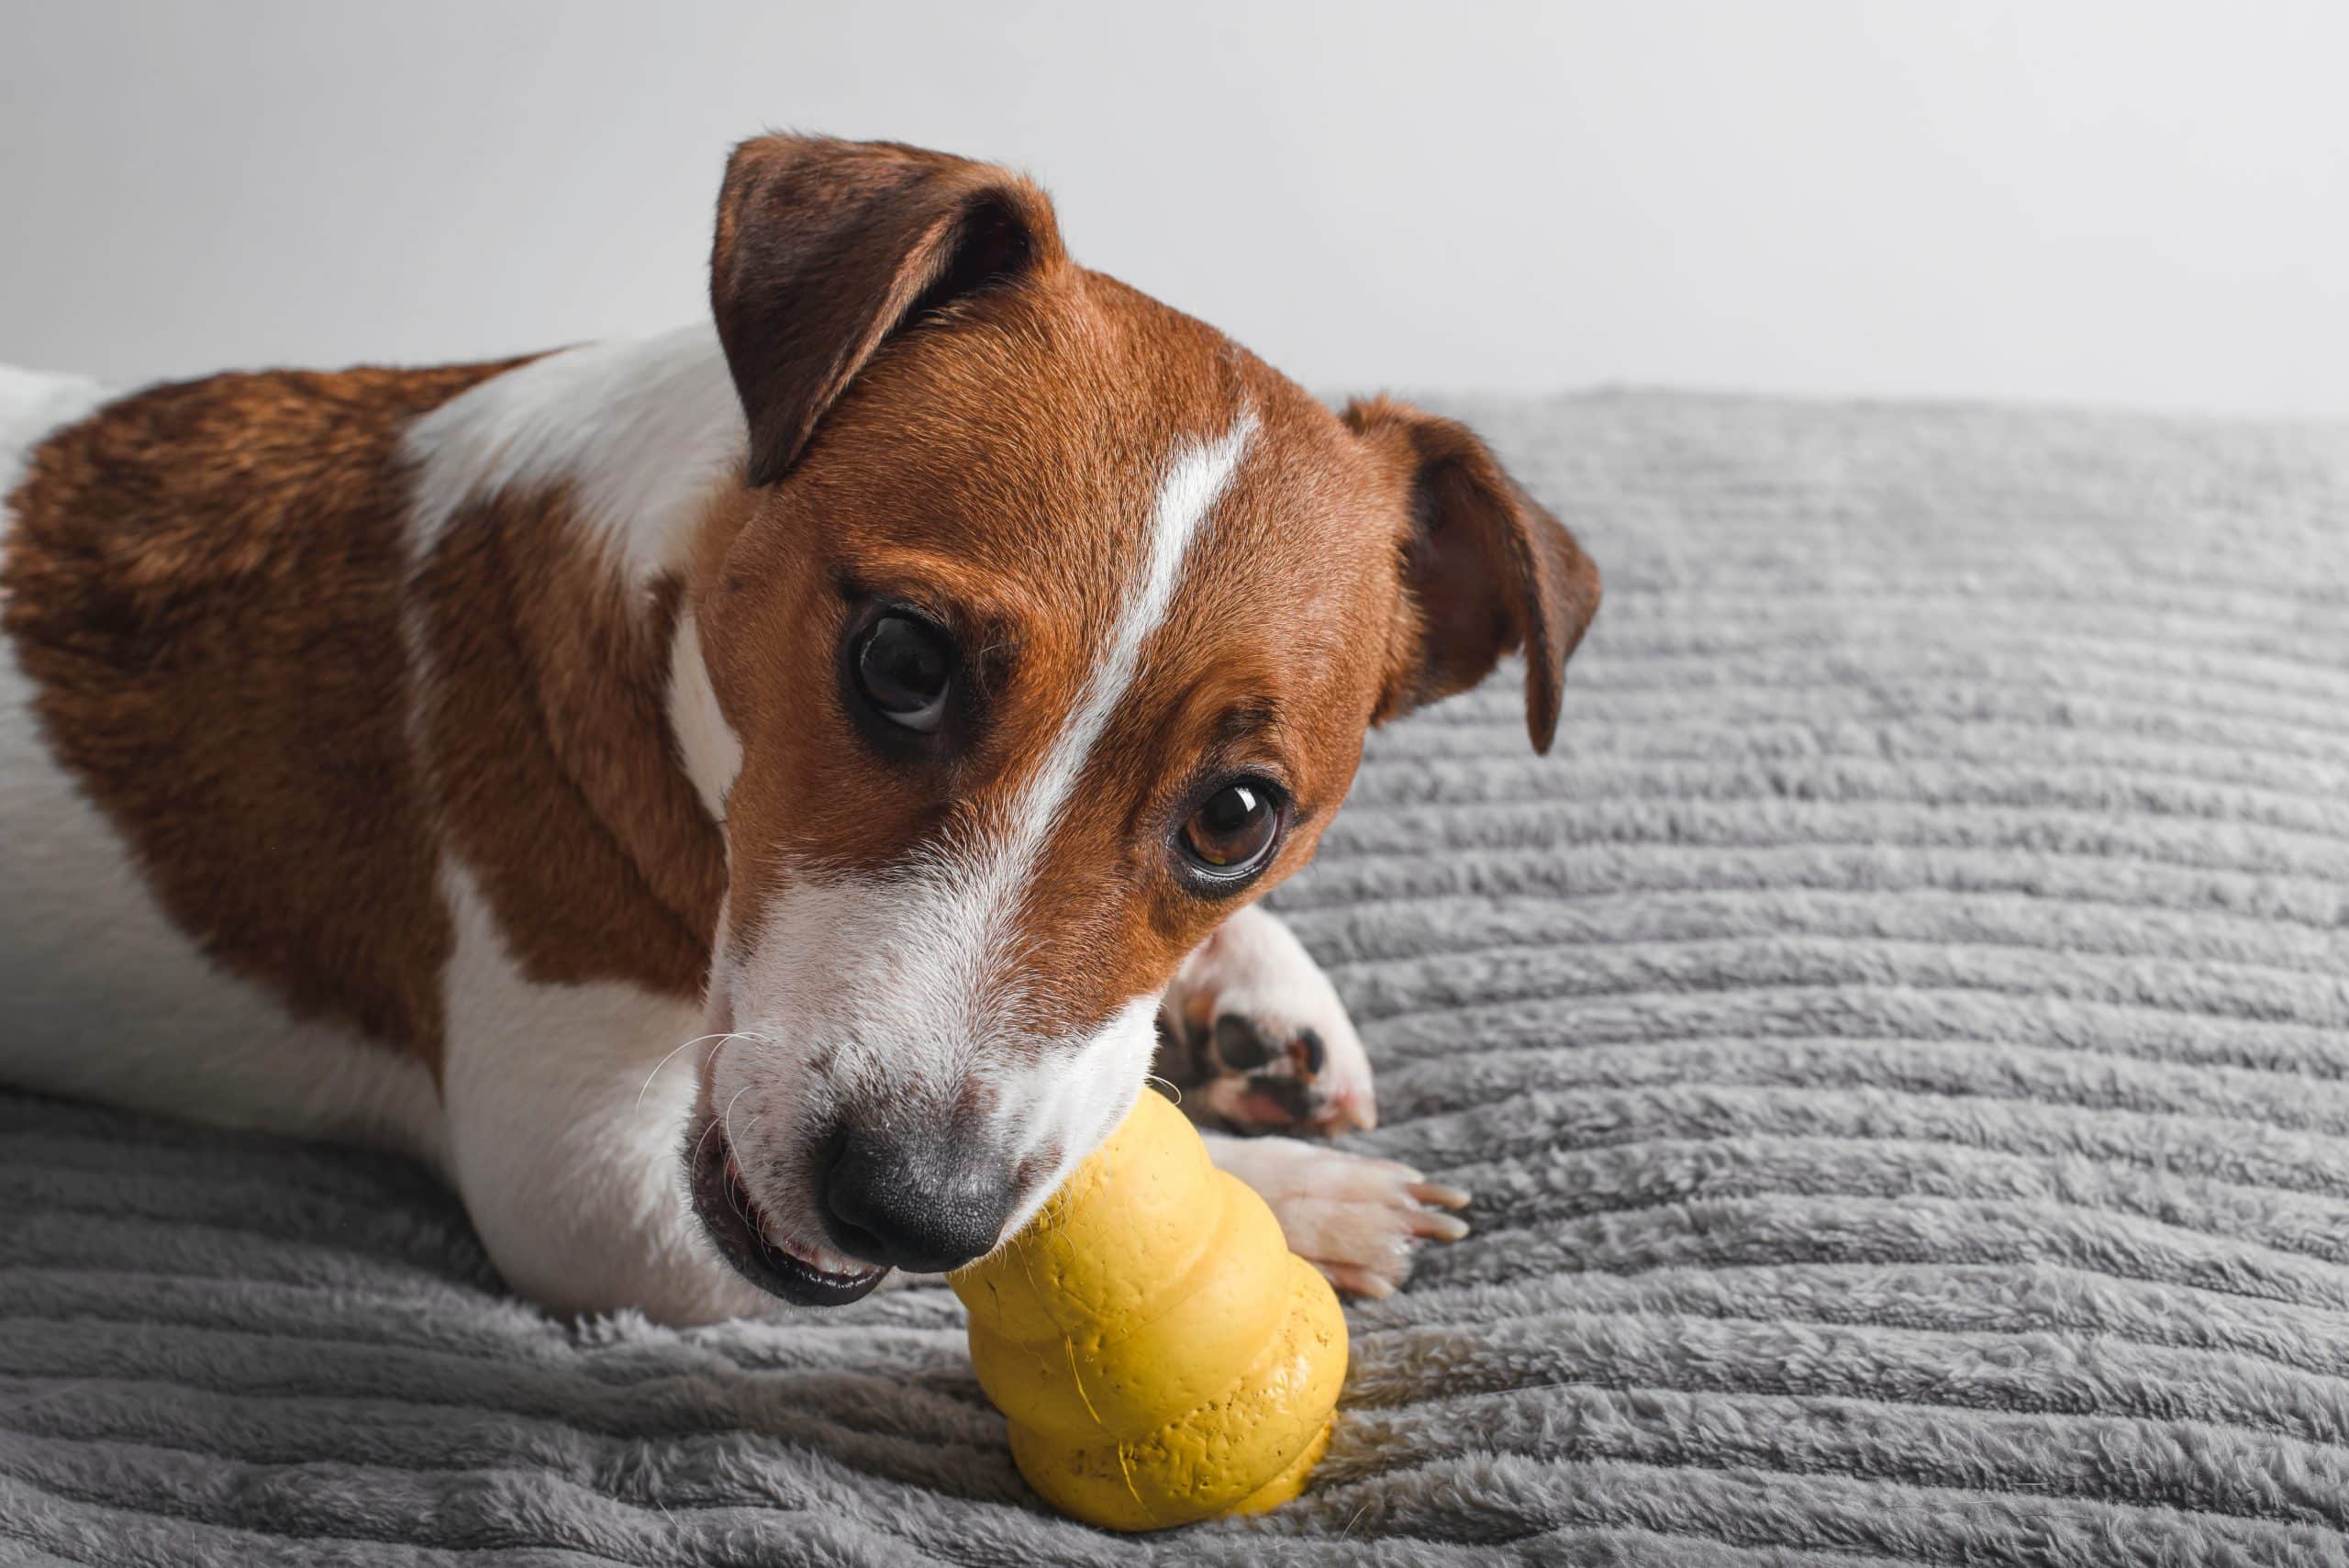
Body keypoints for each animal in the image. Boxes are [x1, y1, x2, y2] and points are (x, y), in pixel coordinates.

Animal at [0, 135, 1597, 1323]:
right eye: (901, 657)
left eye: (1238, 817)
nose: (911, 1204)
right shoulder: (585, 1190)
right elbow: (1056, 1213)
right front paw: (1281, 1203)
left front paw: (1254, 995)